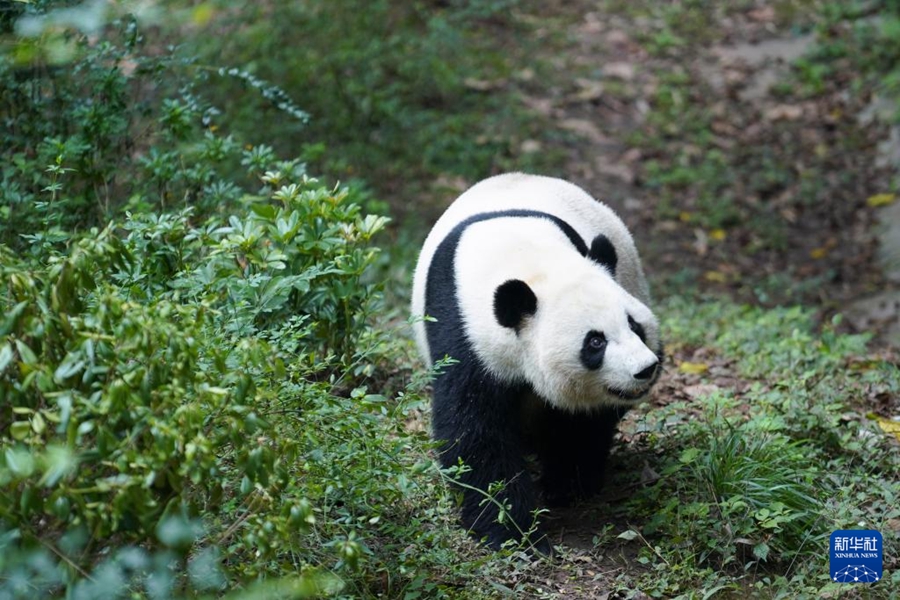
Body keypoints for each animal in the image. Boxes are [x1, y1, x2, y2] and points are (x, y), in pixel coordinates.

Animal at [412, 171, 664, 552]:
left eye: (634, 325)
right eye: (595, 342)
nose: (645, 369)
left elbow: (579, 422)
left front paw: (566, 484)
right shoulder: (462, 331)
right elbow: (474, 430)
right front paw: (510, 529)